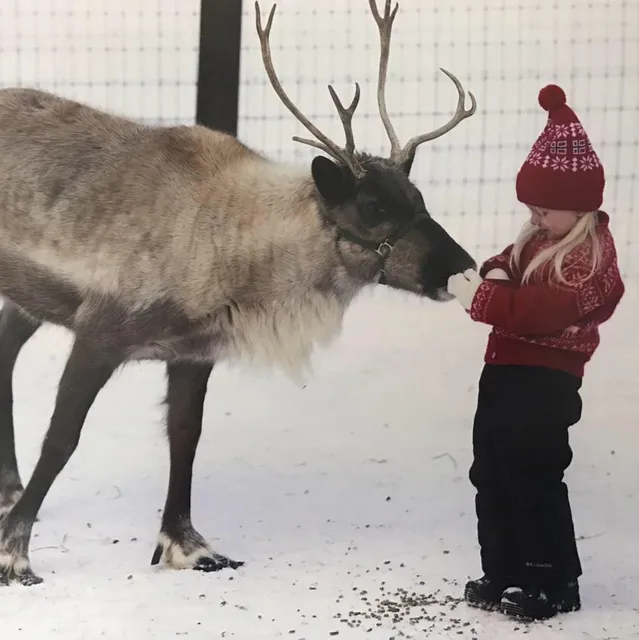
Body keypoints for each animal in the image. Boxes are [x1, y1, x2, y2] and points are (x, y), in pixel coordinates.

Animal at [0, 0, 477, 586]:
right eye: (372, 206)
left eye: (417, 196)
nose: (462, 266)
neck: (234, 243)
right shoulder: (100, 332)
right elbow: (62, 439)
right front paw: (15, 555)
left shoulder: (193, 352)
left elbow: (186, 438)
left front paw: (187, 546)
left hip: (28, 299)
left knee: (6, 347)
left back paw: (7, 486)